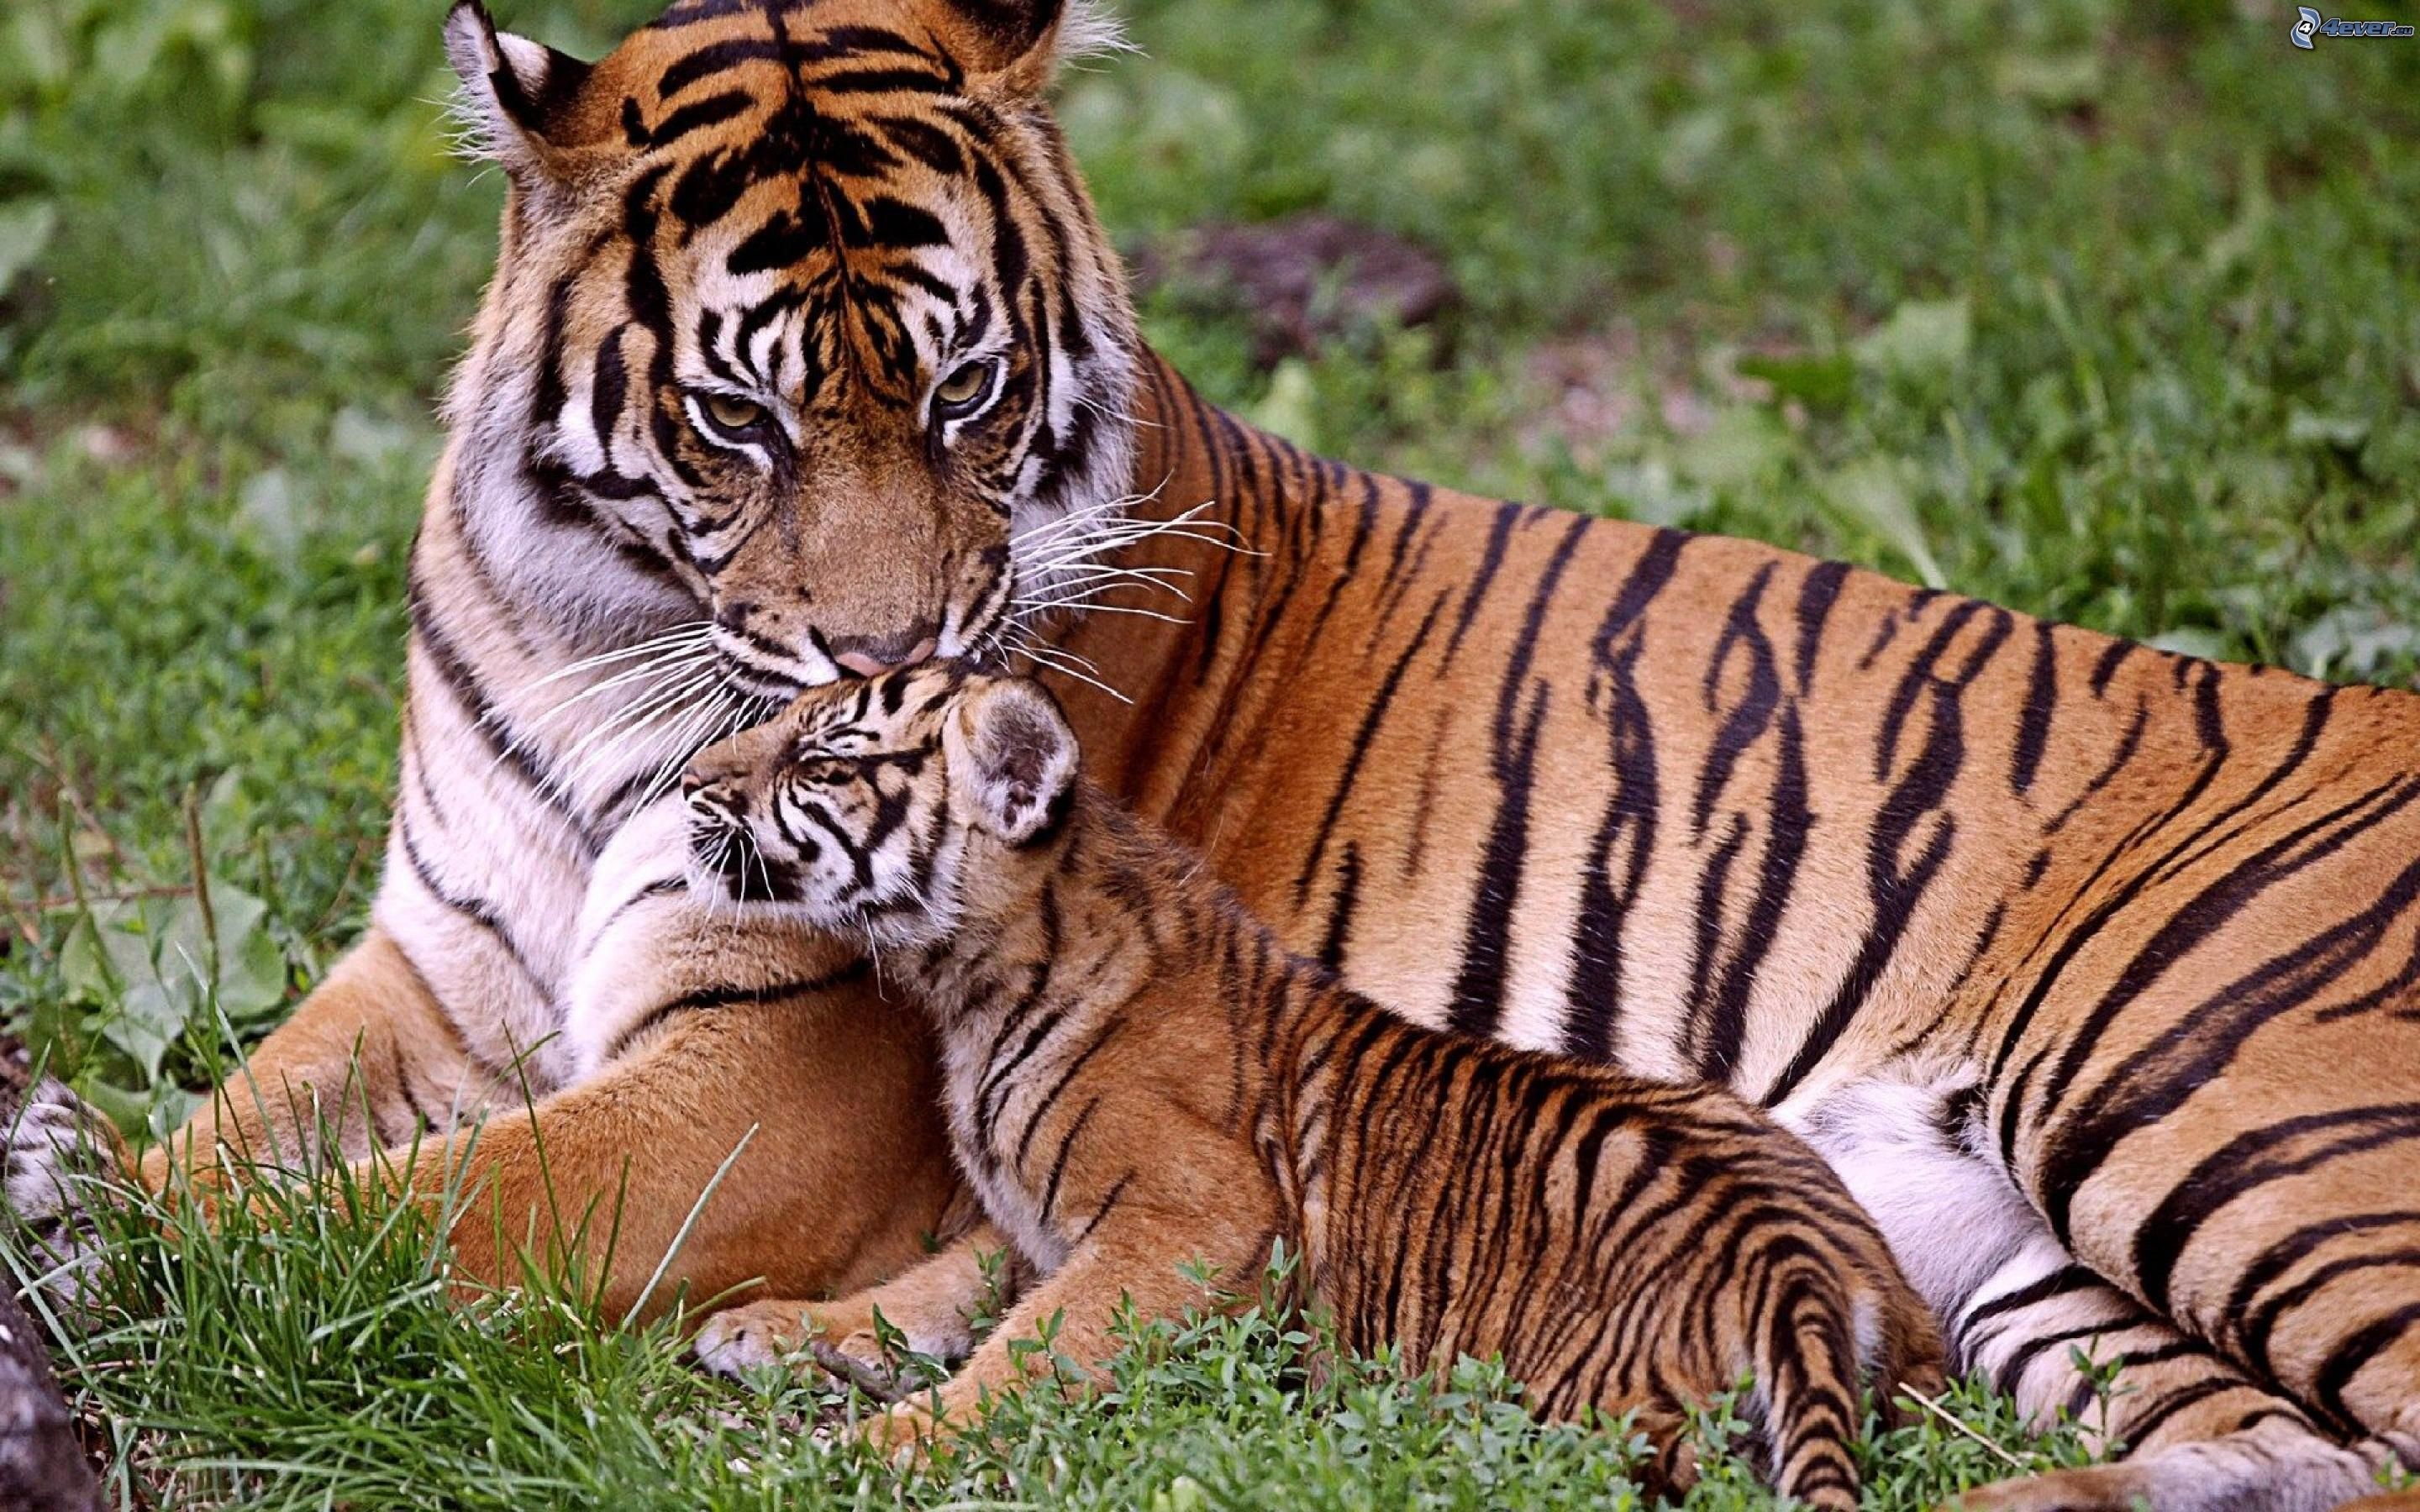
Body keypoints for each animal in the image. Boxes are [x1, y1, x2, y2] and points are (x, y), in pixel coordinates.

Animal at [647, 662, 1947, 1507]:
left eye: (822, 760)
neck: (967, 981)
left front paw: (871, 1450)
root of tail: (1800, 1269)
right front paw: (775, 1330)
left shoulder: (1194, 1217)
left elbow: (1024, 1352)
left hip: (1580, 1413)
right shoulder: (1036, 1225)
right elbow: (937, 1291)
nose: (690, 782)